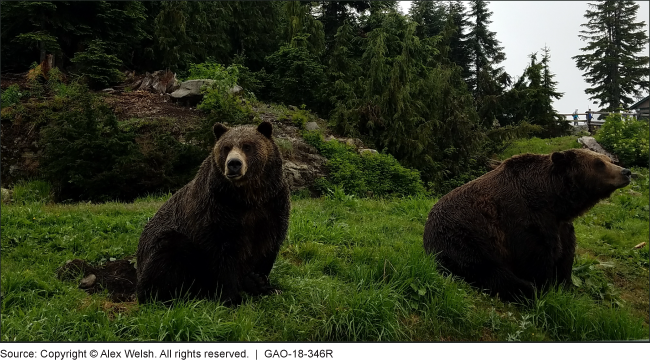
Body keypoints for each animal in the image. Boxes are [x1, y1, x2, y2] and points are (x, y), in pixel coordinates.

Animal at [135, 123, 288, 308]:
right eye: (226, 147)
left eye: (247, 146)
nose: (234, 164)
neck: (247, 197)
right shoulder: (217, 209)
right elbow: (220, 252)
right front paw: (231, 298)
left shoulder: (272, 206)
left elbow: (267, 246)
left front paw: (261, 283)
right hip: (165, 244)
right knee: (169, 252)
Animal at [422, 149, 632, 302]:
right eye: (599, 163)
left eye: (609, 159)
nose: (626, 172)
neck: (553, 200)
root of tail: (427, 224)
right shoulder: (523, 220)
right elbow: (536, 258)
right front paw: (545, 288)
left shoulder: (561, 226)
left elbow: (565, 256)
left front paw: (566, 287)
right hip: (465, 241)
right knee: (491, 273)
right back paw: (526, 290)